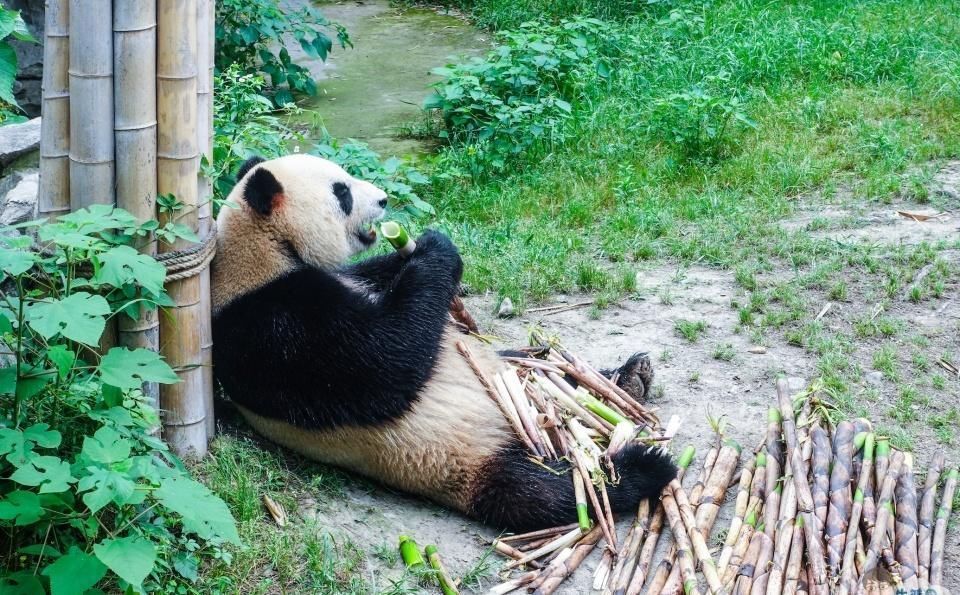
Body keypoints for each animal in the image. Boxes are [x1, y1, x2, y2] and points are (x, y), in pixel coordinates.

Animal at [210, 152, 676, 532]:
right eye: (341, 192)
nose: (383, 201)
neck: (263, 251)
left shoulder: (340, 279)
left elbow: (379, 277)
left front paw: (418, 247)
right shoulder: (269, 326)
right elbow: (382, 362)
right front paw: (435, 249)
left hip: (522, 379)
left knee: (549, 370)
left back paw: (628, 378)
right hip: (463, 459)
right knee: (542, 492)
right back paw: (640, 468)